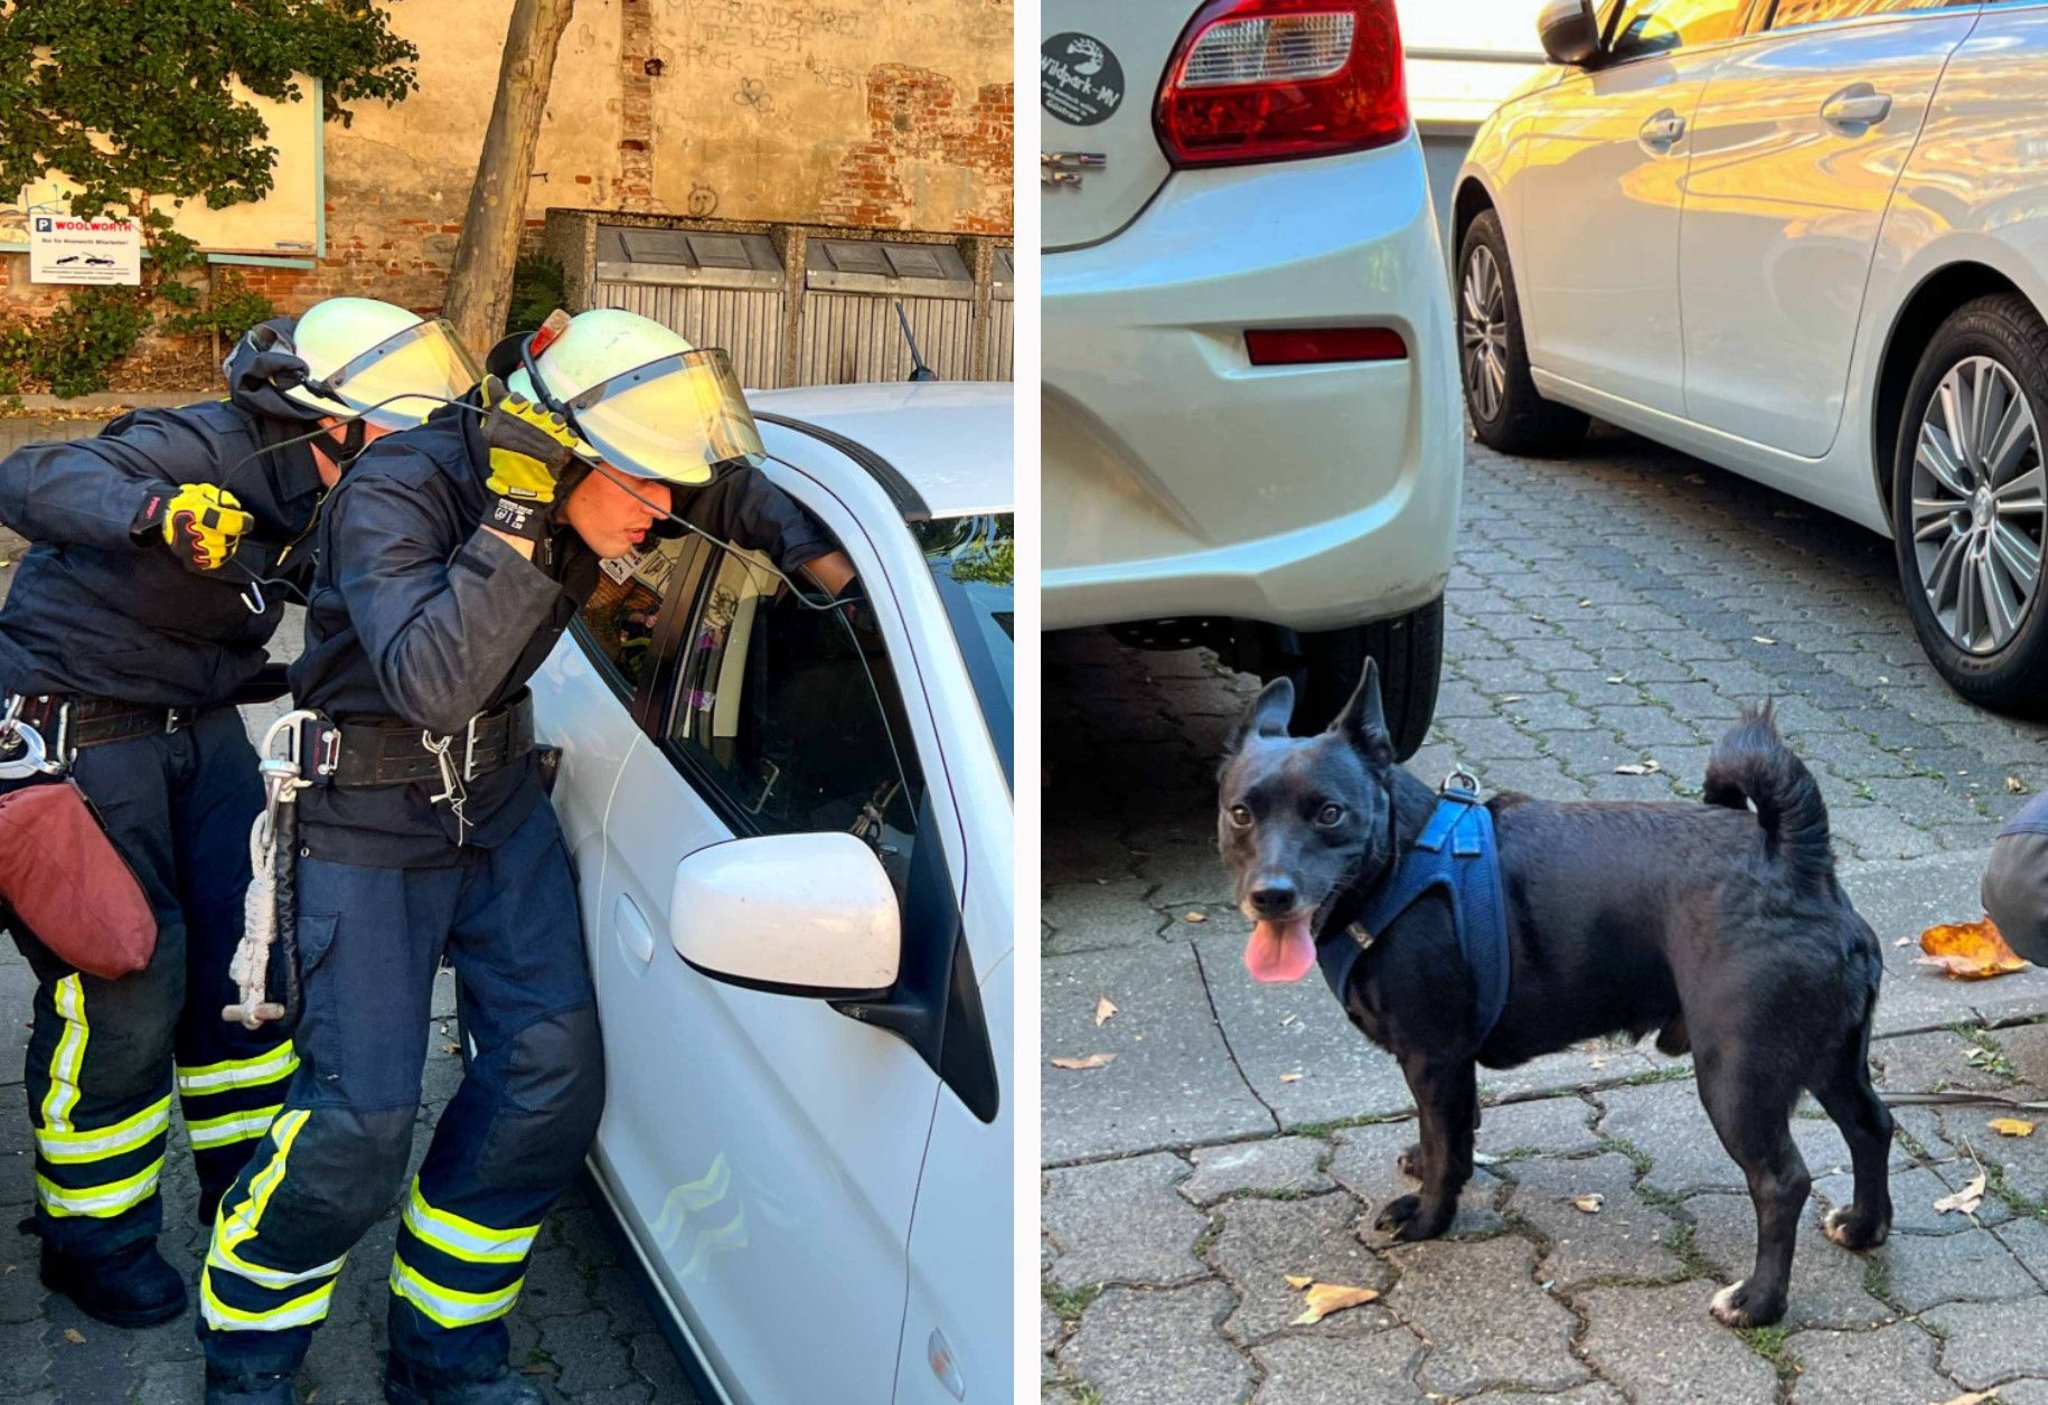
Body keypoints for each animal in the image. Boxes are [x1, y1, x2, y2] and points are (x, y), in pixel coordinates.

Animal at [1204, 667, 1892, 1327]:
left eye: (1330, 814)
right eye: (1240, 814)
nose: (1271, 893)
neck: (1399, 861)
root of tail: (1795, 864)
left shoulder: (1432, 1057)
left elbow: (1444, 1142)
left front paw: (1429, 1215)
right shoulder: (1449, 1064)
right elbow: (1451, 1132)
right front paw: (1434, 1164)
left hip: (1737, 1076)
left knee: (1781, 1183)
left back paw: (1758, 1301)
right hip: (1826, 1058)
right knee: (1871, 1124)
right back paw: (1864, 1225)